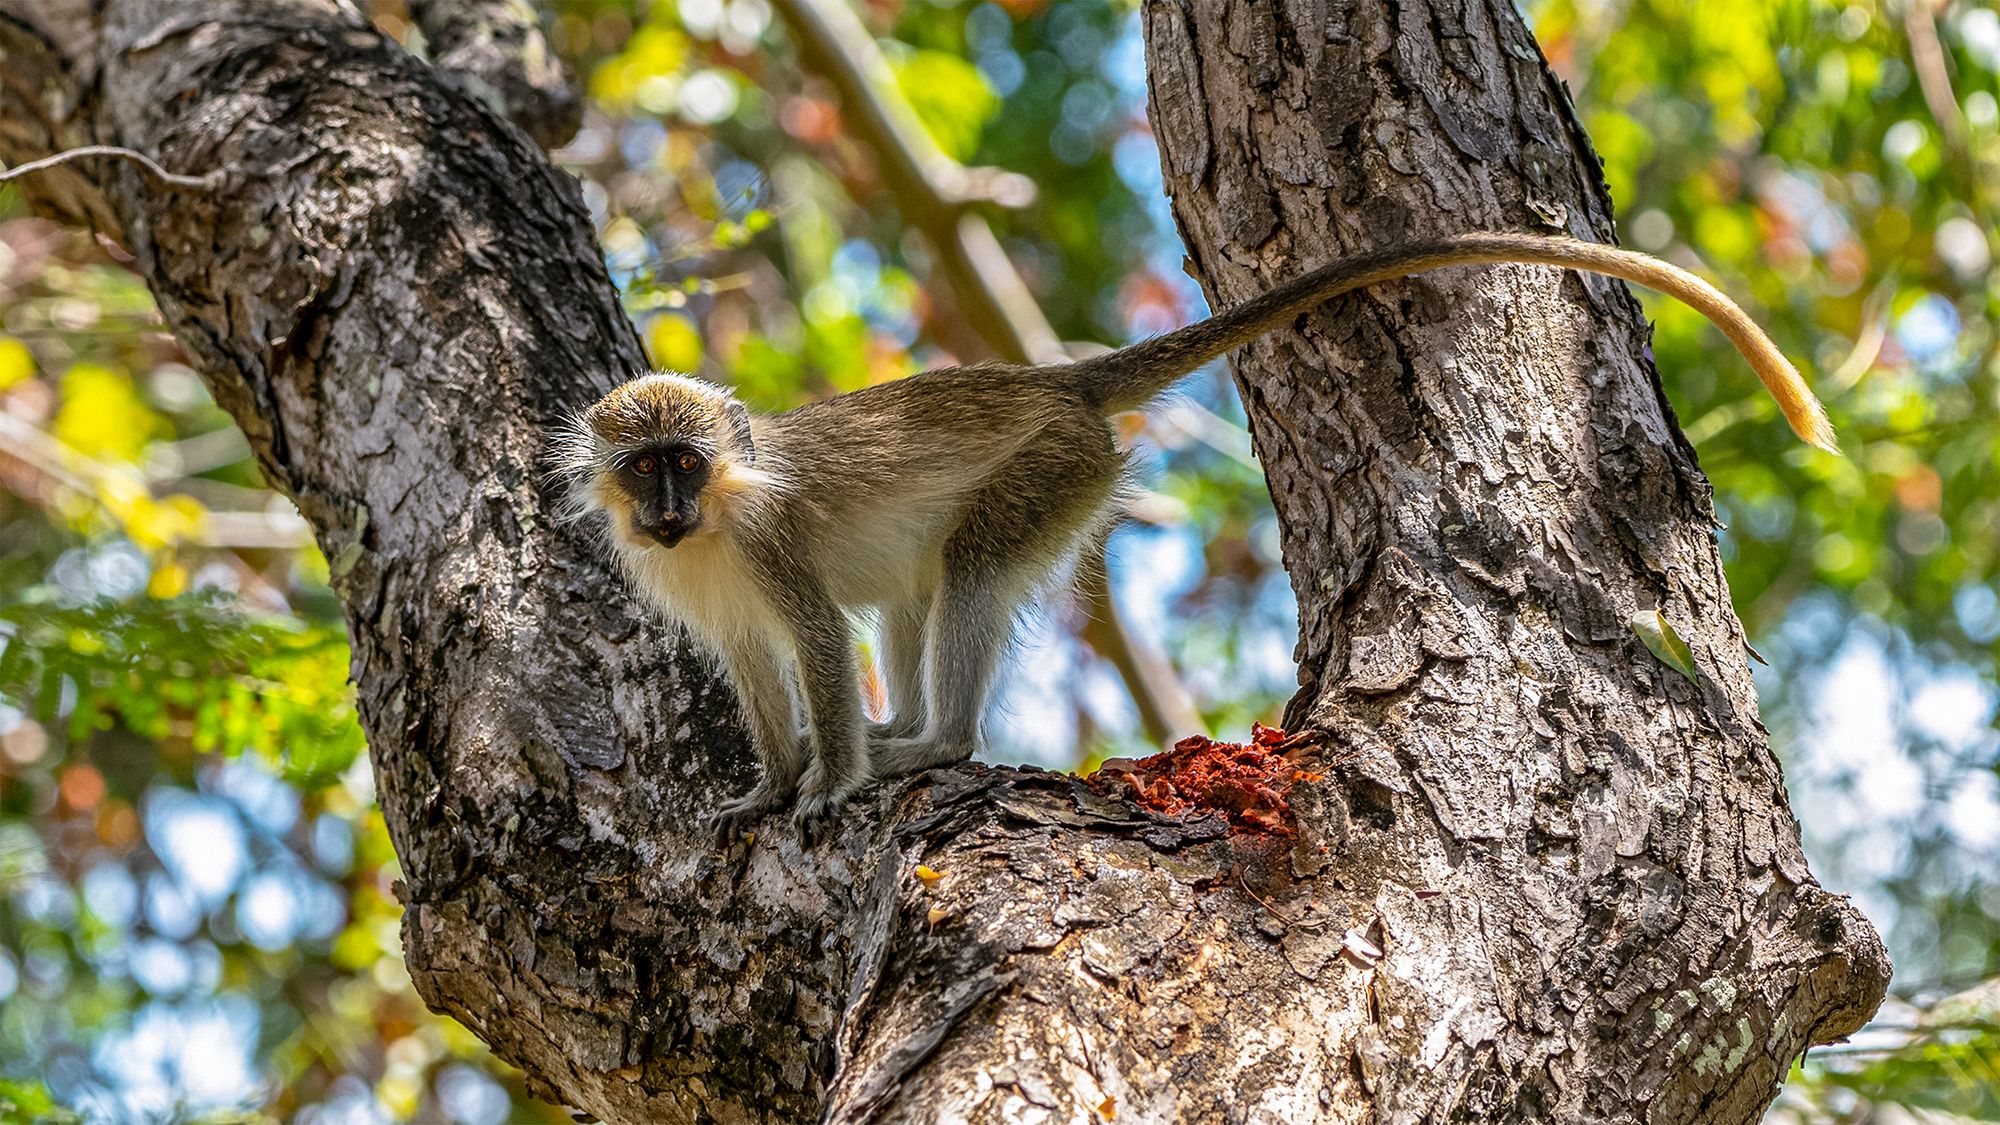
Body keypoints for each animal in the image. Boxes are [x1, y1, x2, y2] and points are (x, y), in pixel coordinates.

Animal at [551, 231, 1836, 842]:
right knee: (921, 584)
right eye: (643, 470)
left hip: (1057, 469)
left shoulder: (766, 541)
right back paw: (909, 732)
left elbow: (816, 643)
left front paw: (824, 786)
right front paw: (771, 789)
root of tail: (1055, 385)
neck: (711, 528)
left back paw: (929, 746)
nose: (664, 510)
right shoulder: (697, 584)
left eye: (684, 463)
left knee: (965, 569)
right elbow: (754, 667)